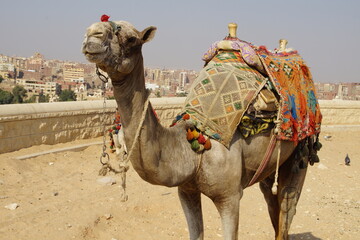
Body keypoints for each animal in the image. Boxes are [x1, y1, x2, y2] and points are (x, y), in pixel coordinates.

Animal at [81, 17, 318, 239]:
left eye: (131, 39)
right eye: (92, 30)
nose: (92, 34)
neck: (196, 150)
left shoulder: (230, 196)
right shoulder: (186, 191)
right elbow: (196, 233)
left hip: (300, 152)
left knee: (287, 205)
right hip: (269, 168)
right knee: (272, 201)